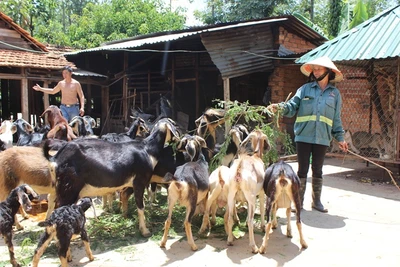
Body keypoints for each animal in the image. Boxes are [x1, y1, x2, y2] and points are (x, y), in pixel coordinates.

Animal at [43, 118, 180, 238]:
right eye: (174, 125)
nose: (178, 142)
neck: (147, 149)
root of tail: (55, 158)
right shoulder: (139, 182)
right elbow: (141, 207)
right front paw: (145, 231)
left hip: (59, 188)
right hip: (69, 190)